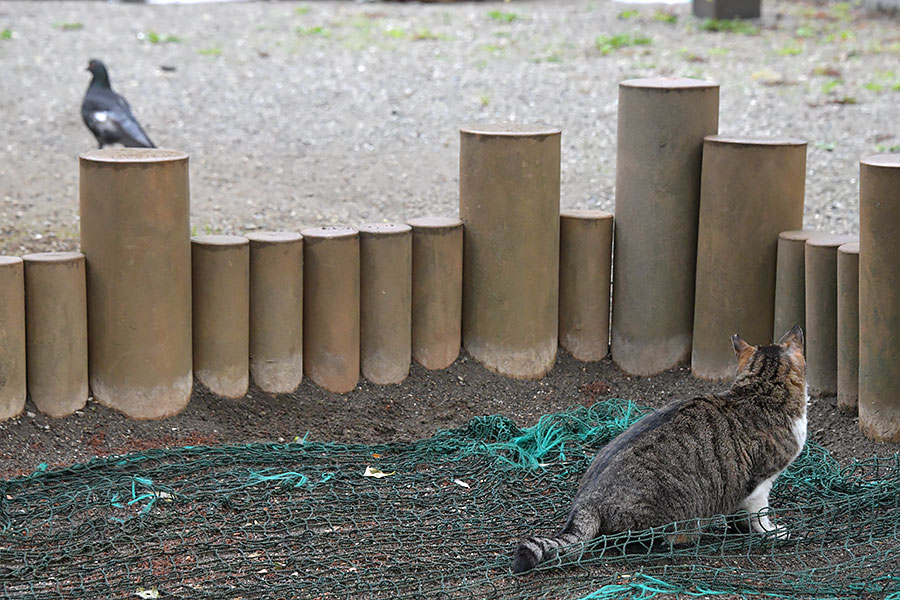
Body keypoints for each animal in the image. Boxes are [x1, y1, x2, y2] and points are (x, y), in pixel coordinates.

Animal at [512, 326, 808, 576]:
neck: (760, 391)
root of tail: (585, 501)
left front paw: (741, 527)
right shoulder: (761, 481)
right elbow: (760, 514)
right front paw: (770, 531)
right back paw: (681, 538)